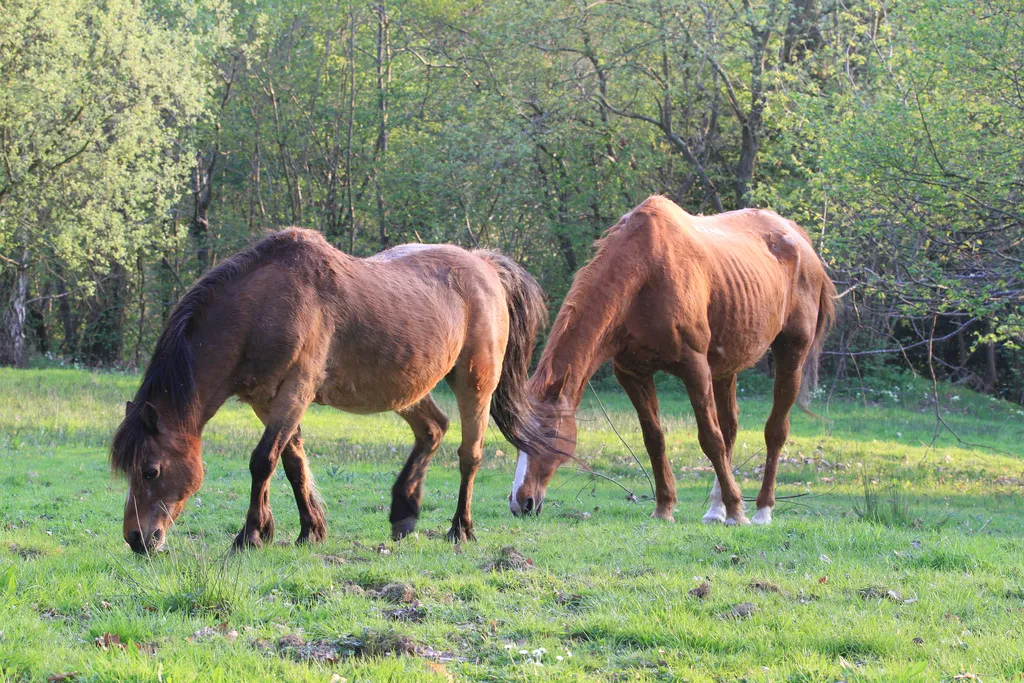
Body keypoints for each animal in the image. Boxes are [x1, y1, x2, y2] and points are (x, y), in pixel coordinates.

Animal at [111, 228, 550, 554]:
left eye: (151, 470)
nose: (136, 539)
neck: (262, 308)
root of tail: (484, 264)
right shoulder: (266, 400)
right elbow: (291, 463)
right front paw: (305, 530)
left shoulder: (296, 390)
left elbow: (263, 461)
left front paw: (250, 535)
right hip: (404, 388)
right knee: (433, 429)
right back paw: (403, 511)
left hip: (474, 383)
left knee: (469, 455)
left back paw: (460, 528)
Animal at [509, 195, 836, 525]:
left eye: (549, 433)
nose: (521, 502)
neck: (644, 273)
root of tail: (798, 237)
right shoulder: (632, 373)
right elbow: (655, 439)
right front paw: (665, 508)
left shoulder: (694, 367)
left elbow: (710, 439)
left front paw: (736, 508)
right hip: (726, 366)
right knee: (730, 428)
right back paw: (716, 509)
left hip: (792, 353)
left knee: (775, 431)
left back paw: (760, 510)